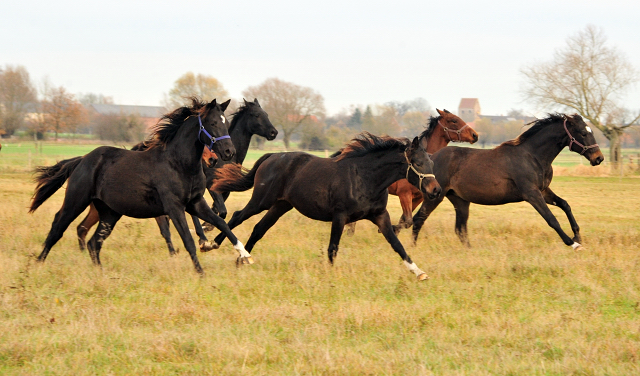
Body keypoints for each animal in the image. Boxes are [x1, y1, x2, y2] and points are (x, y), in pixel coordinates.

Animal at [29, 97, 255, 274]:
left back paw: (101, 273)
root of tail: (83, 159)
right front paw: (201, 273)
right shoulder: (174, 207)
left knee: (94, 242)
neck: (179, 164)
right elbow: (188, 240)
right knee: (58, 227)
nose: (228, 152)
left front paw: (244, 255)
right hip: (76, 201)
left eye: (226, 123)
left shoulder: (196, 203)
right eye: (213, 123)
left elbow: (222, 223)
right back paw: (38, 264)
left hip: (110, 213)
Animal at [72, 98, 278, 254]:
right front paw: (205, 234)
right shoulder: (210, 186)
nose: (274, 132)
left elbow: (217, 213)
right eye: (257, 115)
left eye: (267, 114)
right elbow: (220, 211)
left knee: (83, 228)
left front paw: (206, 233)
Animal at [210, 132, 440, 280]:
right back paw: (213, 245)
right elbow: (333, 248)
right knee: (237, 216)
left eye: (431, 162)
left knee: (259, 229)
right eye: (417, 162)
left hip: (281, 205)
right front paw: (329, 276)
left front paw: (419, 272)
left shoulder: (380, 216)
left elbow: (397, 244)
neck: (365, 177)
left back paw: (243, 259)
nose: (436, 190)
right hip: (262, 200)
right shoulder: (340, 217)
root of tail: (273, 156)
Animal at [410, 113, 604, 251]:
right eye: (583, 133)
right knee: (418, 220)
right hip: (435, 196)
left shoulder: (543, 190)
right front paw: (573, 244)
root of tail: (430, 157)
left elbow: (565, 204)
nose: (599, 158)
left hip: (460, 200)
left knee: (460, 229)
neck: (532, 156)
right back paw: (413, 250)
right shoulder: (531, 193)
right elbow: (551, 219)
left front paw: (578, 236)